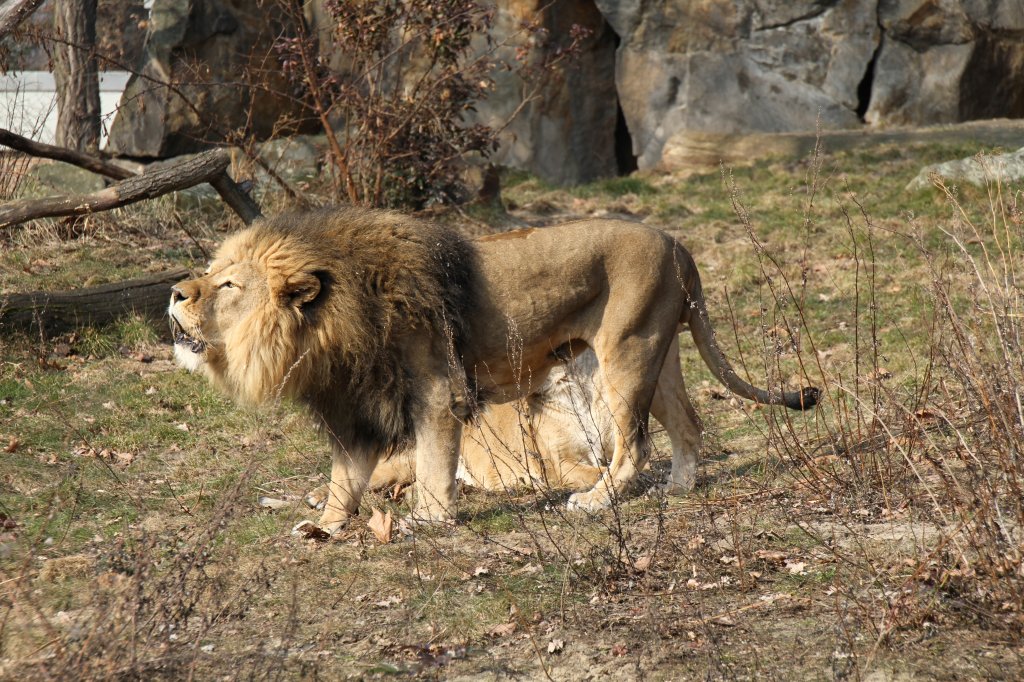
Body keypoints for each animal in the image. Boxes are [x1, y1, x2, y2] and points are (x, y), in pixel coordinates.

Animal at [169, 206, 823, 532]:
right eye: (211, 274)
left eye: (228, 286)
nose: (175, 293)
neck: (327, 327)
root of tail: (676, 241)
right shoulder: (355, 410)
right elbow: (343, 479)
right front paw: (326, 528)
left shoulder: (435, 392)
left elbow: (435, 464)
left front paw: (430, 521)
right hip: (656, 356)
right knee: (688, 426)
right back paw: (680, 487)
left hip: (627, 352)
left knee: (633, 445)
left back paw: (596, 503)